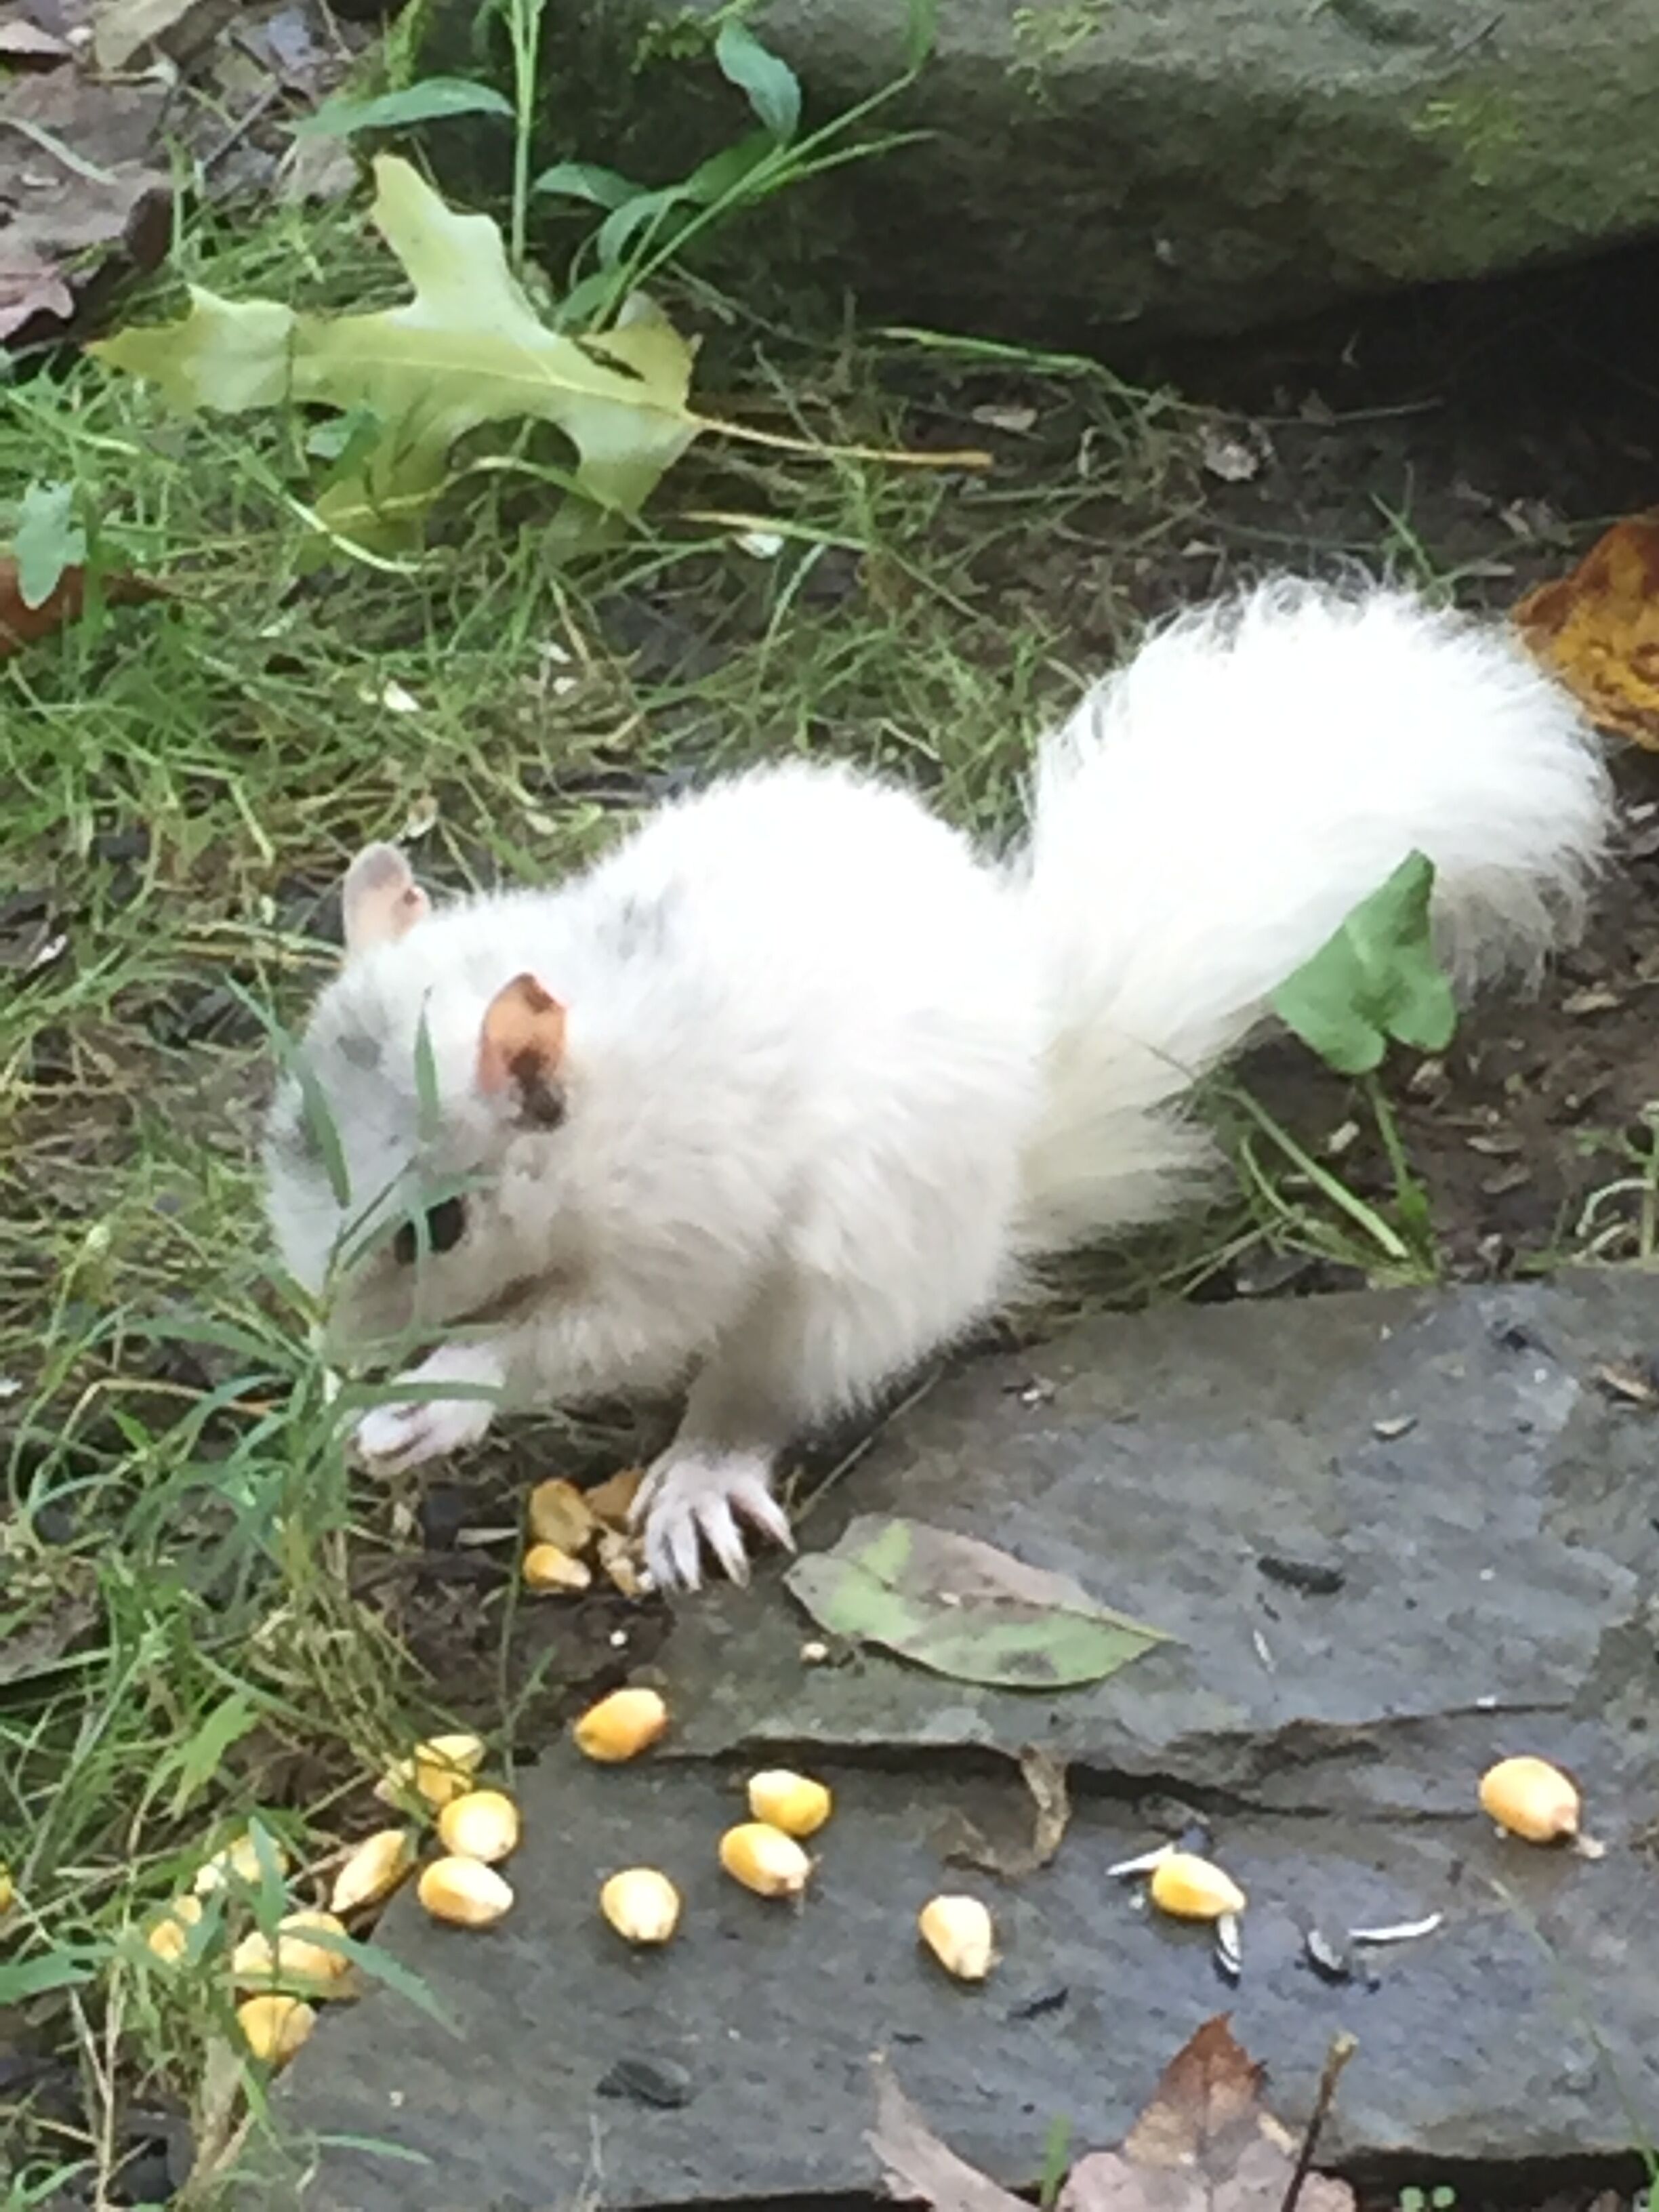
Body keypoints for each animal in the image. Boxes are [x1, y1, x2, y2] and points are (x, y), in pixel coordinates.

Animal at [263, 577, 1609, 1592]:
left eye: (439, 1226)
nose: (343, 1353)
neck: (609, 1097)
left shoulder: (686, 1217)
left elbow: (607, 1333)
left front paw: (442, 1395)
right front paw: (333, 1395)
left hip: (843, 1289)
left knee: (761, 1393)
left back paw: (703, 1473)